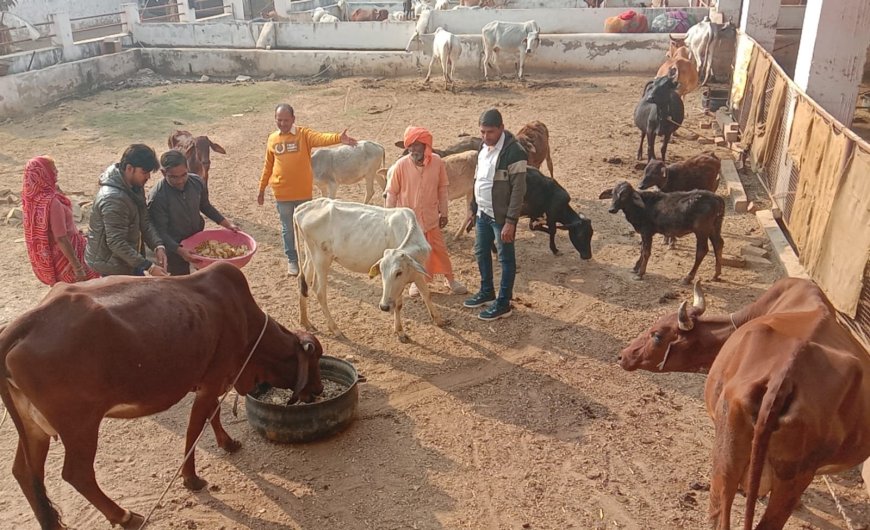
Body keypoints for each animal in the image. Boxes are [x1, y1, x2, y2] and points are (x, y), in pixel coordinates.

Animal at [136, 312, 270, 524]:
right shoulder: (208, 382)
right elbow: (196, 425)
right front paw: (191, 478)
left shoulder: (209, 381)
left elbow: (213, 410)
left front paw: (228, 443)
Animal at [296, 196, 446, 340]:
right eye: (382, 272)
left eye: (399, 272)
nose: (383, 306)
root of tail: (302, 208)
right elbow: (398, 304)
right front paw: (400, 331)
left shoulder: (416, 273)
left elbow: (426, 294)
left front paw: (439, 320)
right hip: (322, 258)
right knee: (319, 291)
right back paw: (335, 329)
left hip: (311, 255)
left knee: (303, 282)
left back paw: (306, 322)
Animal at [620, 278, 870, 524]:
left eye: (657, 335)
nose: (624, 355)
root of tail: (786, 374)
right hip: (792, 481)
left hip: (725, 461)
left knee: (719, 514)